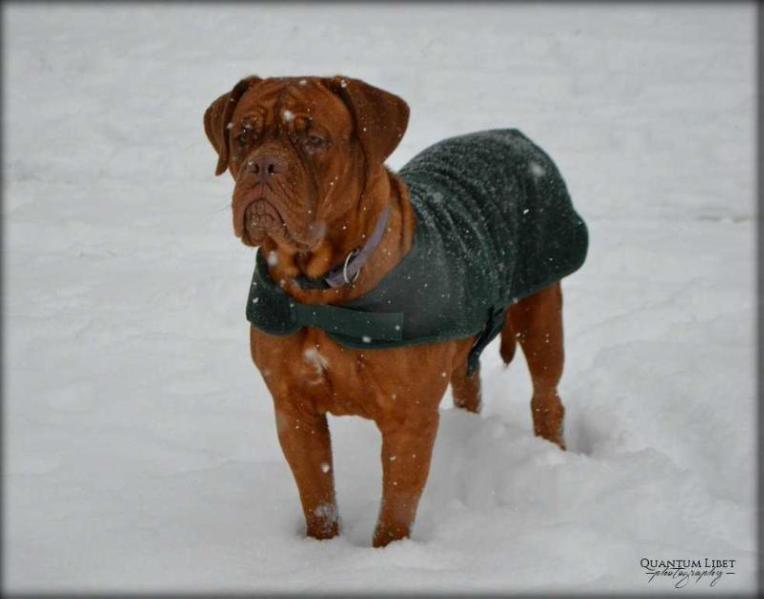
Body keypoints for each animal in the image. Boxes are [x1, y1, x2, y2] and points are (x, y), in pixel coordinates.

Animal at [203, 75, 584, 548]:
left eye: (314, 140)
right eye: (243, 137)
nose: (263, 166)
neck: (319, 289)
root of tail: (512, 134)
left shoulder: (408, 422)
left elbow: (395, 512)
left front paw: (388, 555)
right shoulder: (293, 410)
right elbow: (318, 497)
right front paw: (320, 550)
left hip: (542, 313)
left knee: (547, 397)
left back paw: (552, 453)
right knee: (468, 382)